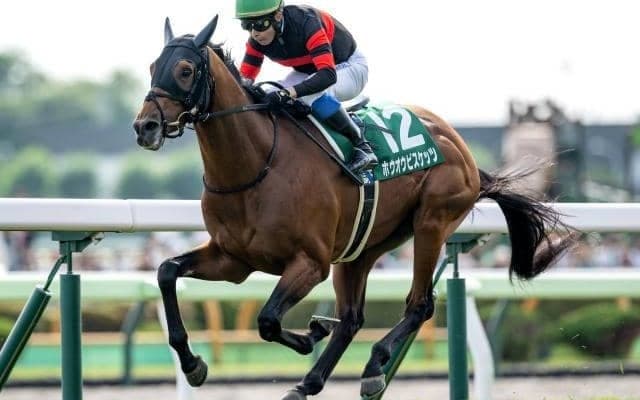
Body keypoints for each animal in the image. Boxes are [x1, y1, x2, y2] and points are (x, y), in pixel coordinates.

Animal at [132, 16, 576, 400]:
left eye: (185, 70)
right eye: (154, 66)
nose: (145, 127)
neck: (257, 165)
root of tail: (459, 145)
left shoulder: (310, 263)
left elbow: (268, 320)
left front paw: (310, 333)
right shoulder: (233, 260)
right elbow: (167, 271)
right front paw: (193, 364)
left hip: (431, 222)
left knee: (419, 304)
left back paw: (373, 367)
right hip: (362, 246)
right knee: (351, 319)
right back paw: (309, 383)